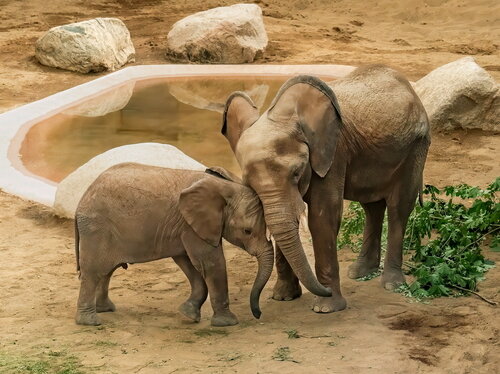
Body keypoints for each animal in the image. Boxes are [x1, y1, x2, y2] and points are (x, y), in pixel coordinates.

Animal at [74, 162, 274, 326]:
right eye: (247, 231)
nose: (258, 314)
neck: (224, 186)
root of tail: (82, 200)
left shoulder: (182, 228)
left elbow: (187, 262)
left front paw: (188, 313)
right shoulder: (190, 226)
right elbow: (210, 263)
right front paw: (227, 323)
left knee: (106, 271)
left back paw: (105, 309)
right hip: (97, 229)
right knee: (93, 272)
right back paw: (90, 321)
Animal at [222, 65, 430, 312]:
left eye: (296, 173)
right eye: (248, 183)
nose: (257, 311)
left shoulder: (333, 153)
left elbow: (323, 217)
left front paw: (326, 308)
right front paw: (284, 297)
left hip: (415, 147)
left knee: (399, 207)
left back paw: (392, 285)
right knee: (372, 205)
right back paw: (359, 273)